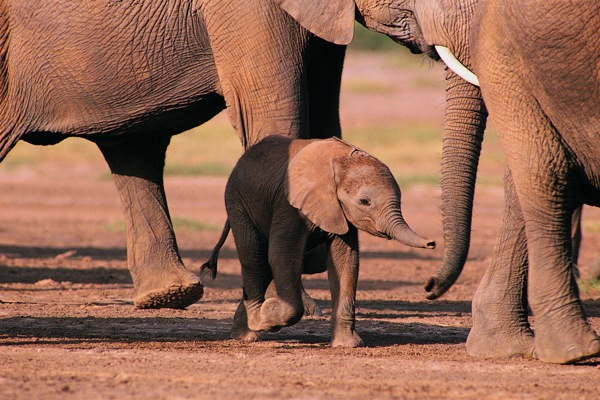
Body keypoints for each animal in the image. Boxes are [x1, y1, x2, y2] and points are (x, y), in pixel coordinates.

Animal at [204, 135, 434, 346]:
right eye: (364, 201)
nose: (431, 243)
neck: (340, 162)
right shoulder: (289, 204)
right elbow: (282, 255)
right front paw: (267, 315)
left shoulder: (339, 211)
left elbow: (346, 261)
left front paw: (347, 345)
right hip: (237, 203)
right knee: (255, 258)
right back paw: (254, 326)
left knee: (264, 266)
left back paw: (245, 331)